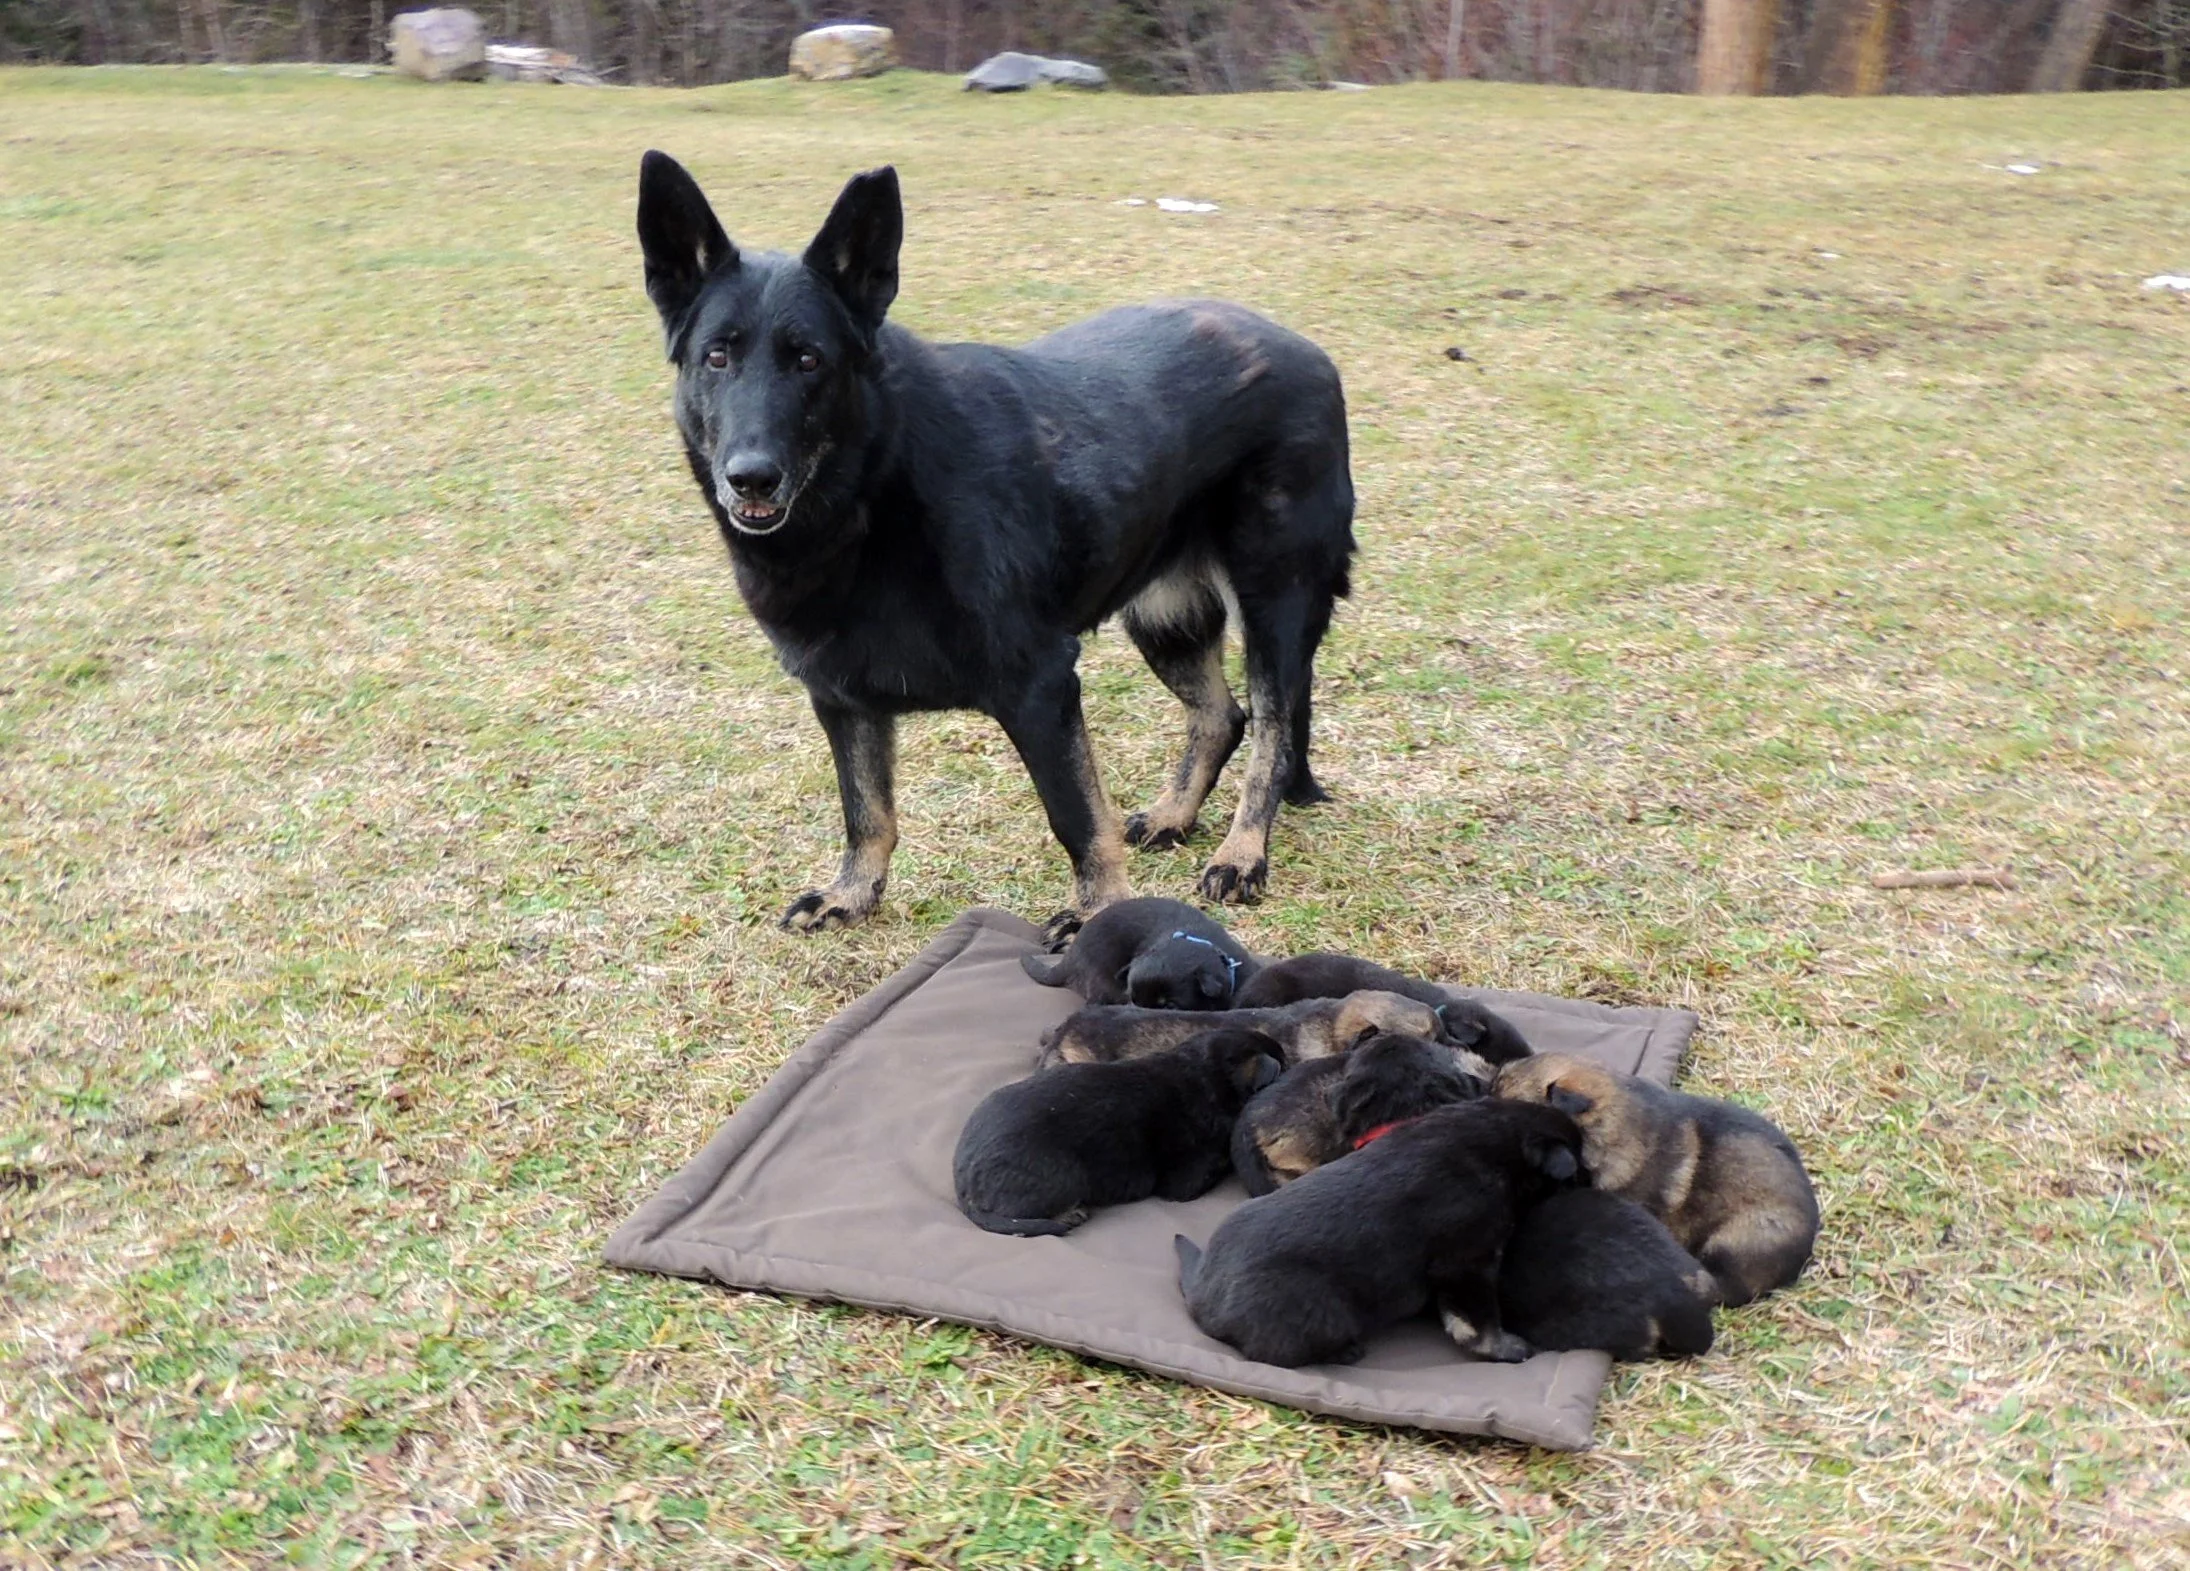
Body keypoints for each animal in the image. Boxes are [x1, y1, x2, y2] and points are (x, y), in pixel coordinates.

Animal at [637, 154, 1356, 933]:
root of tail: (1312, 353)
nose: (750, 477)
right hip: (1166, 616)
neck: (873, 490)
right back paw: (1175, 814)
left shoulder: (1040, 685)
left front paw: (1099, 917)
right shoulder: (840, 699)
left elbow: (1077, 817)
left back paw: (1242, 852)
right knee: (1223, 717)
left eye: (809, 361)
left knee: (1273, 731)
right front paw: (853, 893)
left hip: (1274, 603)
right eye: (716, 358)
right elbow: (867, 811)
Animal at [954, 1028, 1284, 1236]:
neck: (1205, 1073)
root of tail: (964, 1186)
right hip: (1064, 1175)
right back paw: (1070, 1213)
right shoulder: (1185, 1179)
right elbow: (1222, 1158)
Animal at [1175, 1100, 1583, 1367]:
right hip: (1324, 1312)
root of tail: (1202, 1300)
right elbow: (1477, 1323)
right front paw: (1507, 1348)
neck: (1496, 1138)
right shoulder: (1468, 1263)